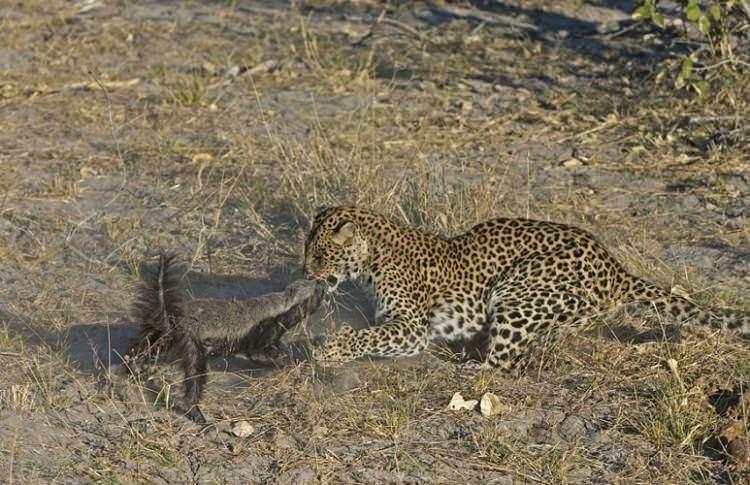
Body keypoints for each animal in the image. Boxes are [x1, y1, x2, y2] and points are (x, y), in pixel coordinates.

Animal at [304, 204, 750, 366]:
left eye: (321, 256)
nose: (306, 275)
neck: (372, 258)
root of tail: (614, 265)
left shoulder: (411, 326)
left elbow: (369, 336)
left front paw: (330, 350)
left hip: (516, 293)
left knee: (501, 365)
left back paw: (465, 366)